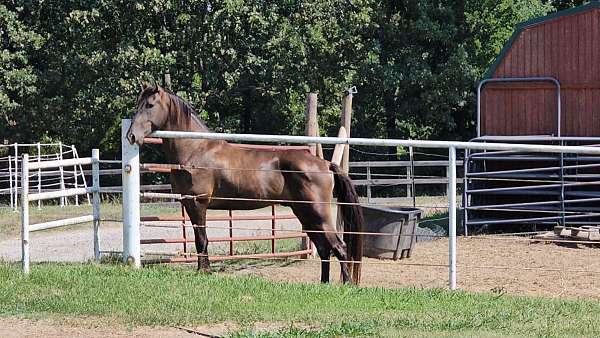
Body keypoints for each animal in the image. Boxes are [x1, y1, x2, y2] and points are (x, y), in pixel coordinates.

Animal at [125, 84, 364, 282]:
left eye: (150, 105)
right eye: (137, 105)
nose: (131, 136)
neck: (196, 149)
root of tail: (325, 164)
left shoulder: (198, 203)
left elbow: (202, 239)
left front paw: (204, 271)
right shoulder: (189, 203)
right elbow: (199, 238)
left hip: (318, 213)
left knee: (339, 247)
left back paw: (346, 285)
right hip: (304, 213)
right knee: (324, 249)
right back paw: (323, 284)